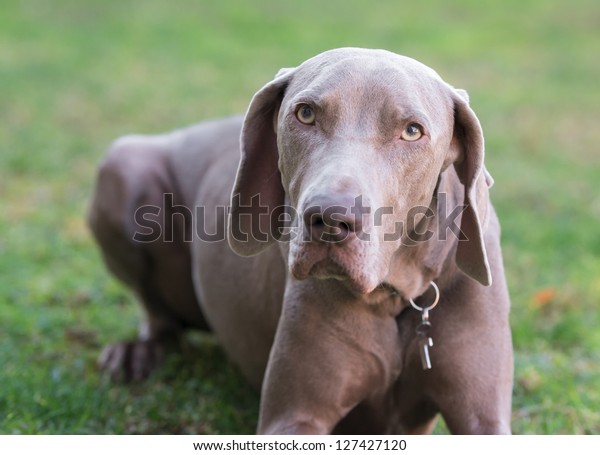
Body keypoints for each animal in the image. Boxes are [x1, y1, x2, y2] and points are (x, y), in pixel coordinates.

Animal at [86, 47, 512, 434]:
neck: (396, 293)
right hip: (124, 166)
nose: (330, 220)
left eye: (412, 130)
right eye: (305, 113)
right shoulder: (294, 417)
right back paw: (136, 352)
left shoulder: (483, 418)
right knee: (158, 314)